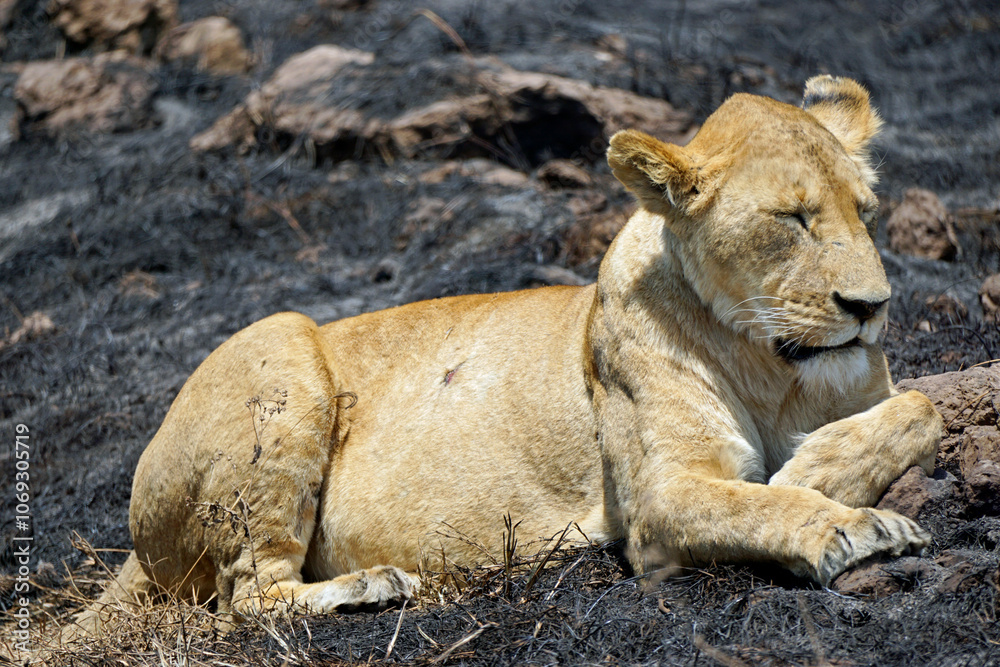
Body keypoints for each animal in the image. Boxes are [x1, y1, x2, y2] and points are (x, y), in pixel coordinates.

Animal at [69, 75, 941, 635]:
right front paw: (851, 524)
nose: (872, 306)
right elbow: (761, 503)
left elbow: (922, 404)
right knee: (246, 596)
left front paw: (817, 465)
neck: (775, 367)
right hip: (278, 346)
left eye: (865, 211)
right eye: (792, 218)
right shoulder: (658, 503)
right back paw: (372, 587)